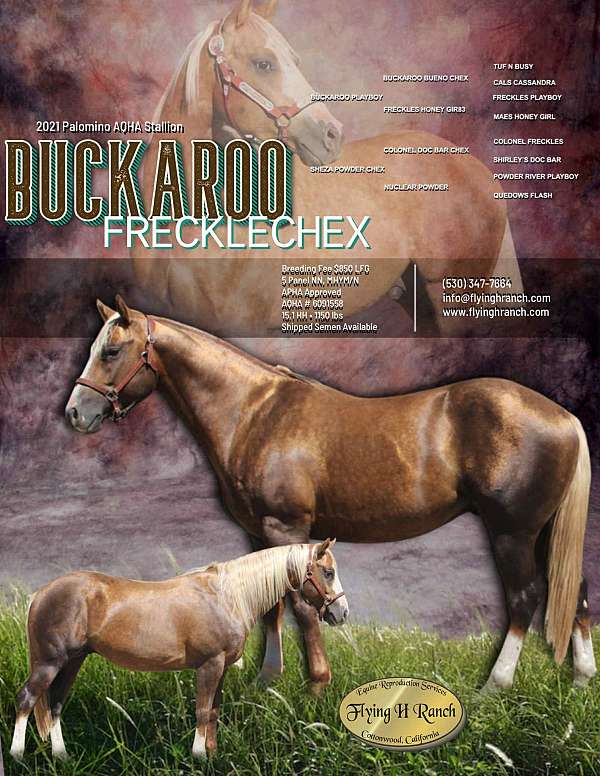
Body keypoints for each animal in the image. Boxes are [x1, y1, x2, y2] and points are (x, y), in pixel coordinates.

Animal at [9, 540, 347, 761]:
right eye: (328, 572)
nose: (341, 613)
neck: (227, 596)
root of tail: (41, 593)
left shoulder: (221, 668)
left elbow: (213, 711)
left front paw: (211, 755)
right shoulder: (210, 665)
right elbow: (202, 711)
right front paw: (198, 756)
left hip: (72, 661)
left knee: (55, 704)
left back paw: (61, 755)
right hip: (49, 662)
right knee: (26, 699)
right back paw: (16, 755)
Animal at [65, 297, 596, 697]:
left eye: (112, 350)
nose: (74, 413)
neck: (254, 413)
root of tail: (564, 417)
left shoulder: (287, 527)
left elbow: (300, 605)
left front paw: (316, 683)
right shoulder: (258, 533)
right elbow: (272, 602)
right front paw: (268, 680)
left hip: (512, 532)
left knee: (525, 597)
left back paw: (494, 687)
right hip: (544, 532)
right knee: (575, 589)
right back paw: (580, 678)